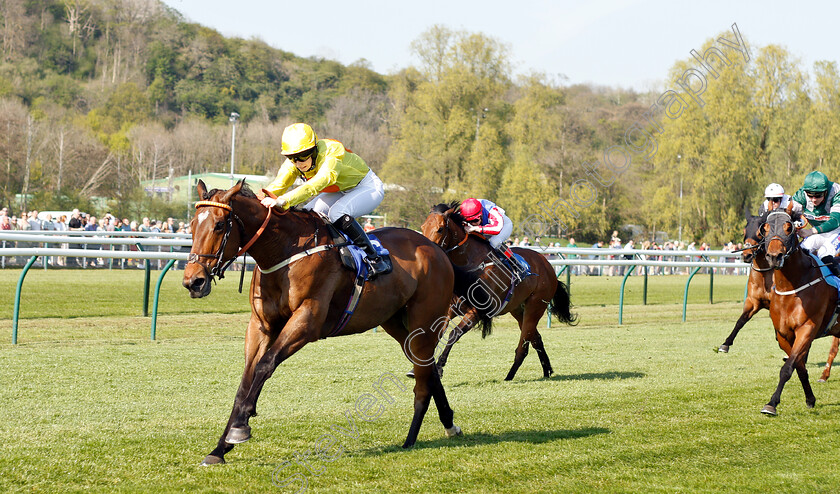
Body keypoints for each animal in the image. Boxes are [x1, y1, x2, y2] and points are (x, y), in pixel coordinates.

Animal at [184, 180, 486, 464]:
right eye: (192, 225)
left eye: (219, 225)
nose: (193, 281)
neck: (284, 252)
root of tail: (438, 250)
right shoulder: (260, 326)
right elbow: (245, 381)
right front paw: (220, 447)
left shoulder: (307, 321)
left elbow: (264, 366)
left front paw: (240, 428)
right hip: (395, 323)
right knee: (429, 368)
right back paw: (449, 423)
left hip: (425, 321)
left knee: (423, 378)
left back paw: (411, 439)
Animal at [420, 203, 576, 380]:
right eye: (422, 227)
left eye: (440, 229)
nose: (428, 251)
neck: (468, 264)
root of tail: (547, 264)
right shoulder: (450, 310)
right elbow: (437, 334)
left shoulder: (478, 311)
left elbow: (454, 333)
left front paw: (439, 368)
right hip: (518, 309)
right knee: (535, 338)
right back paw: (547, 370)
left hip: (535, 306)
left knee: (523, 346)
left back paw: (510, 376)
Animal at [760, 206, 840, 414]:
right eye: (765, 228)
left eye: (789, 228)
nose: (774, 256)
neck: (792, 287)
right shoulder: (783, 334)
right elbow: (799, 367)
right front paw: (810, 399)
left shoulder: (807, 329)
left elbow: (788, 368)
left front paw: (771, 404)